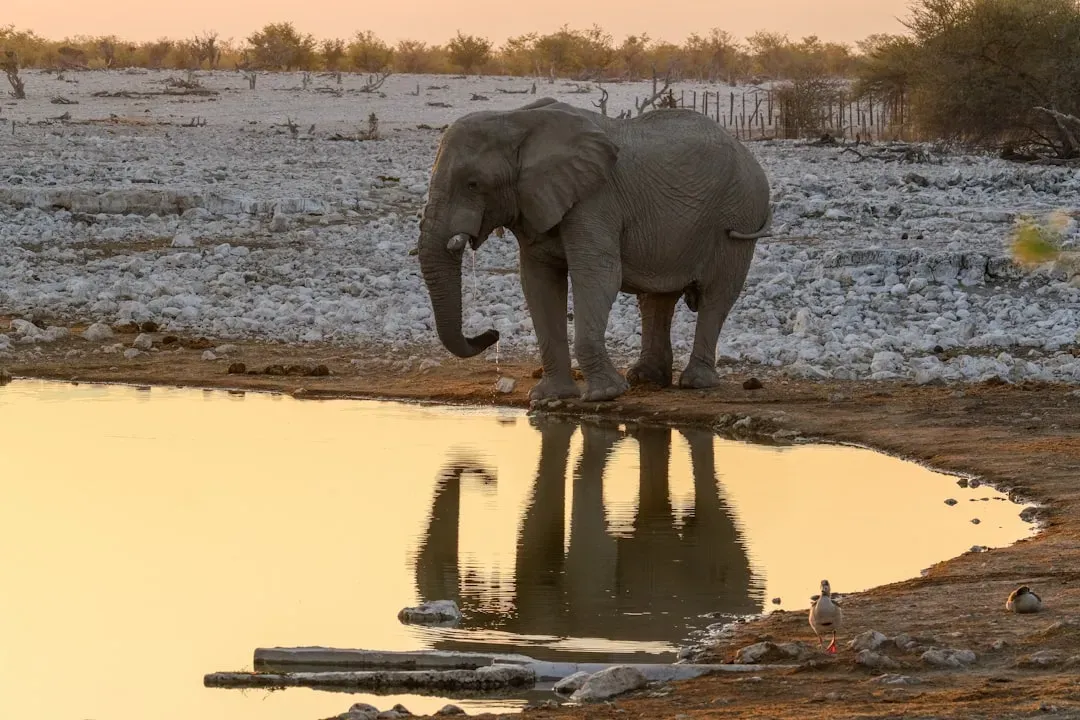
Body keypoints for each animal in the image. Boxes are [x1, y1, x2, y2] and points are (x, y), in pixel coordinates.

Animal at [417, 97, 773, 402]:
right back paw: (646, 379)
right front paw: (549, 398)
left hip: (738, 212)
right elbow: (538, 282)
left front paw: (605, 394)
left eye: (473, 184)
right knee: (656, 299)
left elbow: (597, 275)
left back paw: (695, 382)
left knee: (717, 295)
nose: (492, 333)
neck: (516, 119)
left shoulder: (595, 199)